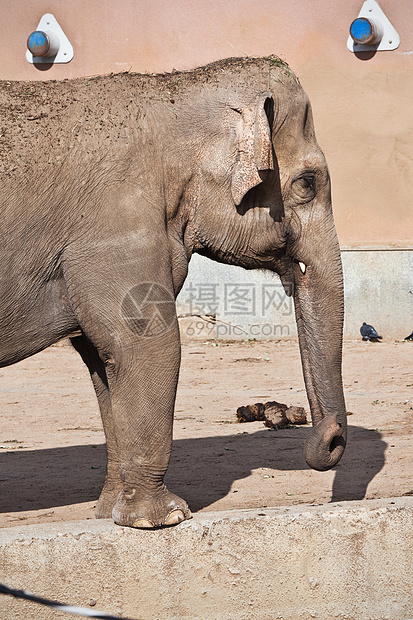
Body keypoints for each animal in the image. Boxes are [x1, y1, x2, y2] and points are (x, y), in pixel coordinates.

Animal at [0, 57, 346, 528]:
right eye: (308, 183)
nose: (328, 441)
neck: (174, 92)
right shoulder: (116, 225)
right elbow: (148, 343)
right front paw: (164, 519)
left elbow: (103, 357)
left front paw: (111, 513)